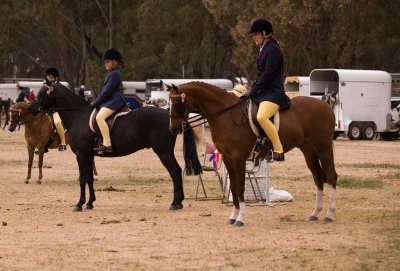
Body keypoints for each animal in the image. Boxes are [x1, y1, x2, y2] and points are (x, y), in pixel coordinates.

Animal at [33, 83, 199, 212]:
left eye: (42, 93)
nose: (31, 109)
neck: (78, 116)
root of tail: (171, 117)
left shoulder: (81, 154)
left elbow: (82, 178)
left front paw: (79, 204)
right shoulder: (89, 155)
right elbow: (89, 178)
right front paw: (90, 203)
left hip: (163, 152)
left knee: (174, 172)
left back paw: (175, 203)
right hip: (167, 152)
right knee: (177, 171)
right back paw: (179, 202)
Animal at [168, 83, 338, 227]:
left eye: (176, 104)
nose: (173, 129)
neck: (225, 114)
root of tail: (326, 106)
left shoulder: (238, 158)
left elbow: (240, 186)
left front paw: (241, 218)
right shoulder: (228, 159)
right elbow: (233, 187)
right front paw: (233, 216)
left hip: (323, 148)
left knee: (331, 175)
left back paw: (329, 214)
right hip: (308, 150)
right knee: (318, 177)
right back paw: (315, 213)